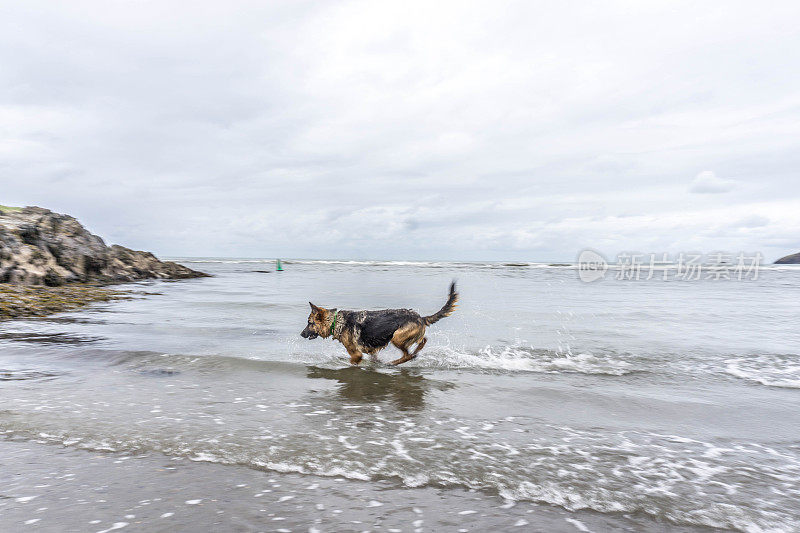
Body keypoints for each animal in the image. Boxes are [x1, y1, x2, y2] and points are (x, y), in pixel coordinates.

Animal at [300, 280, 460, 364]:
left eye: (309, 323)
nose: (301, 334)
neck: (336, 322)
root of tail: (420, 317)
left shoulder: (356, 354)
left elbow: (353, 361)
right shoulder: (371, 352)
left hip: (396, 338)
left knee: (407, 355)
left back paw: (394, 363)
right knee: (421, 343)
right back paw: (414, 353)